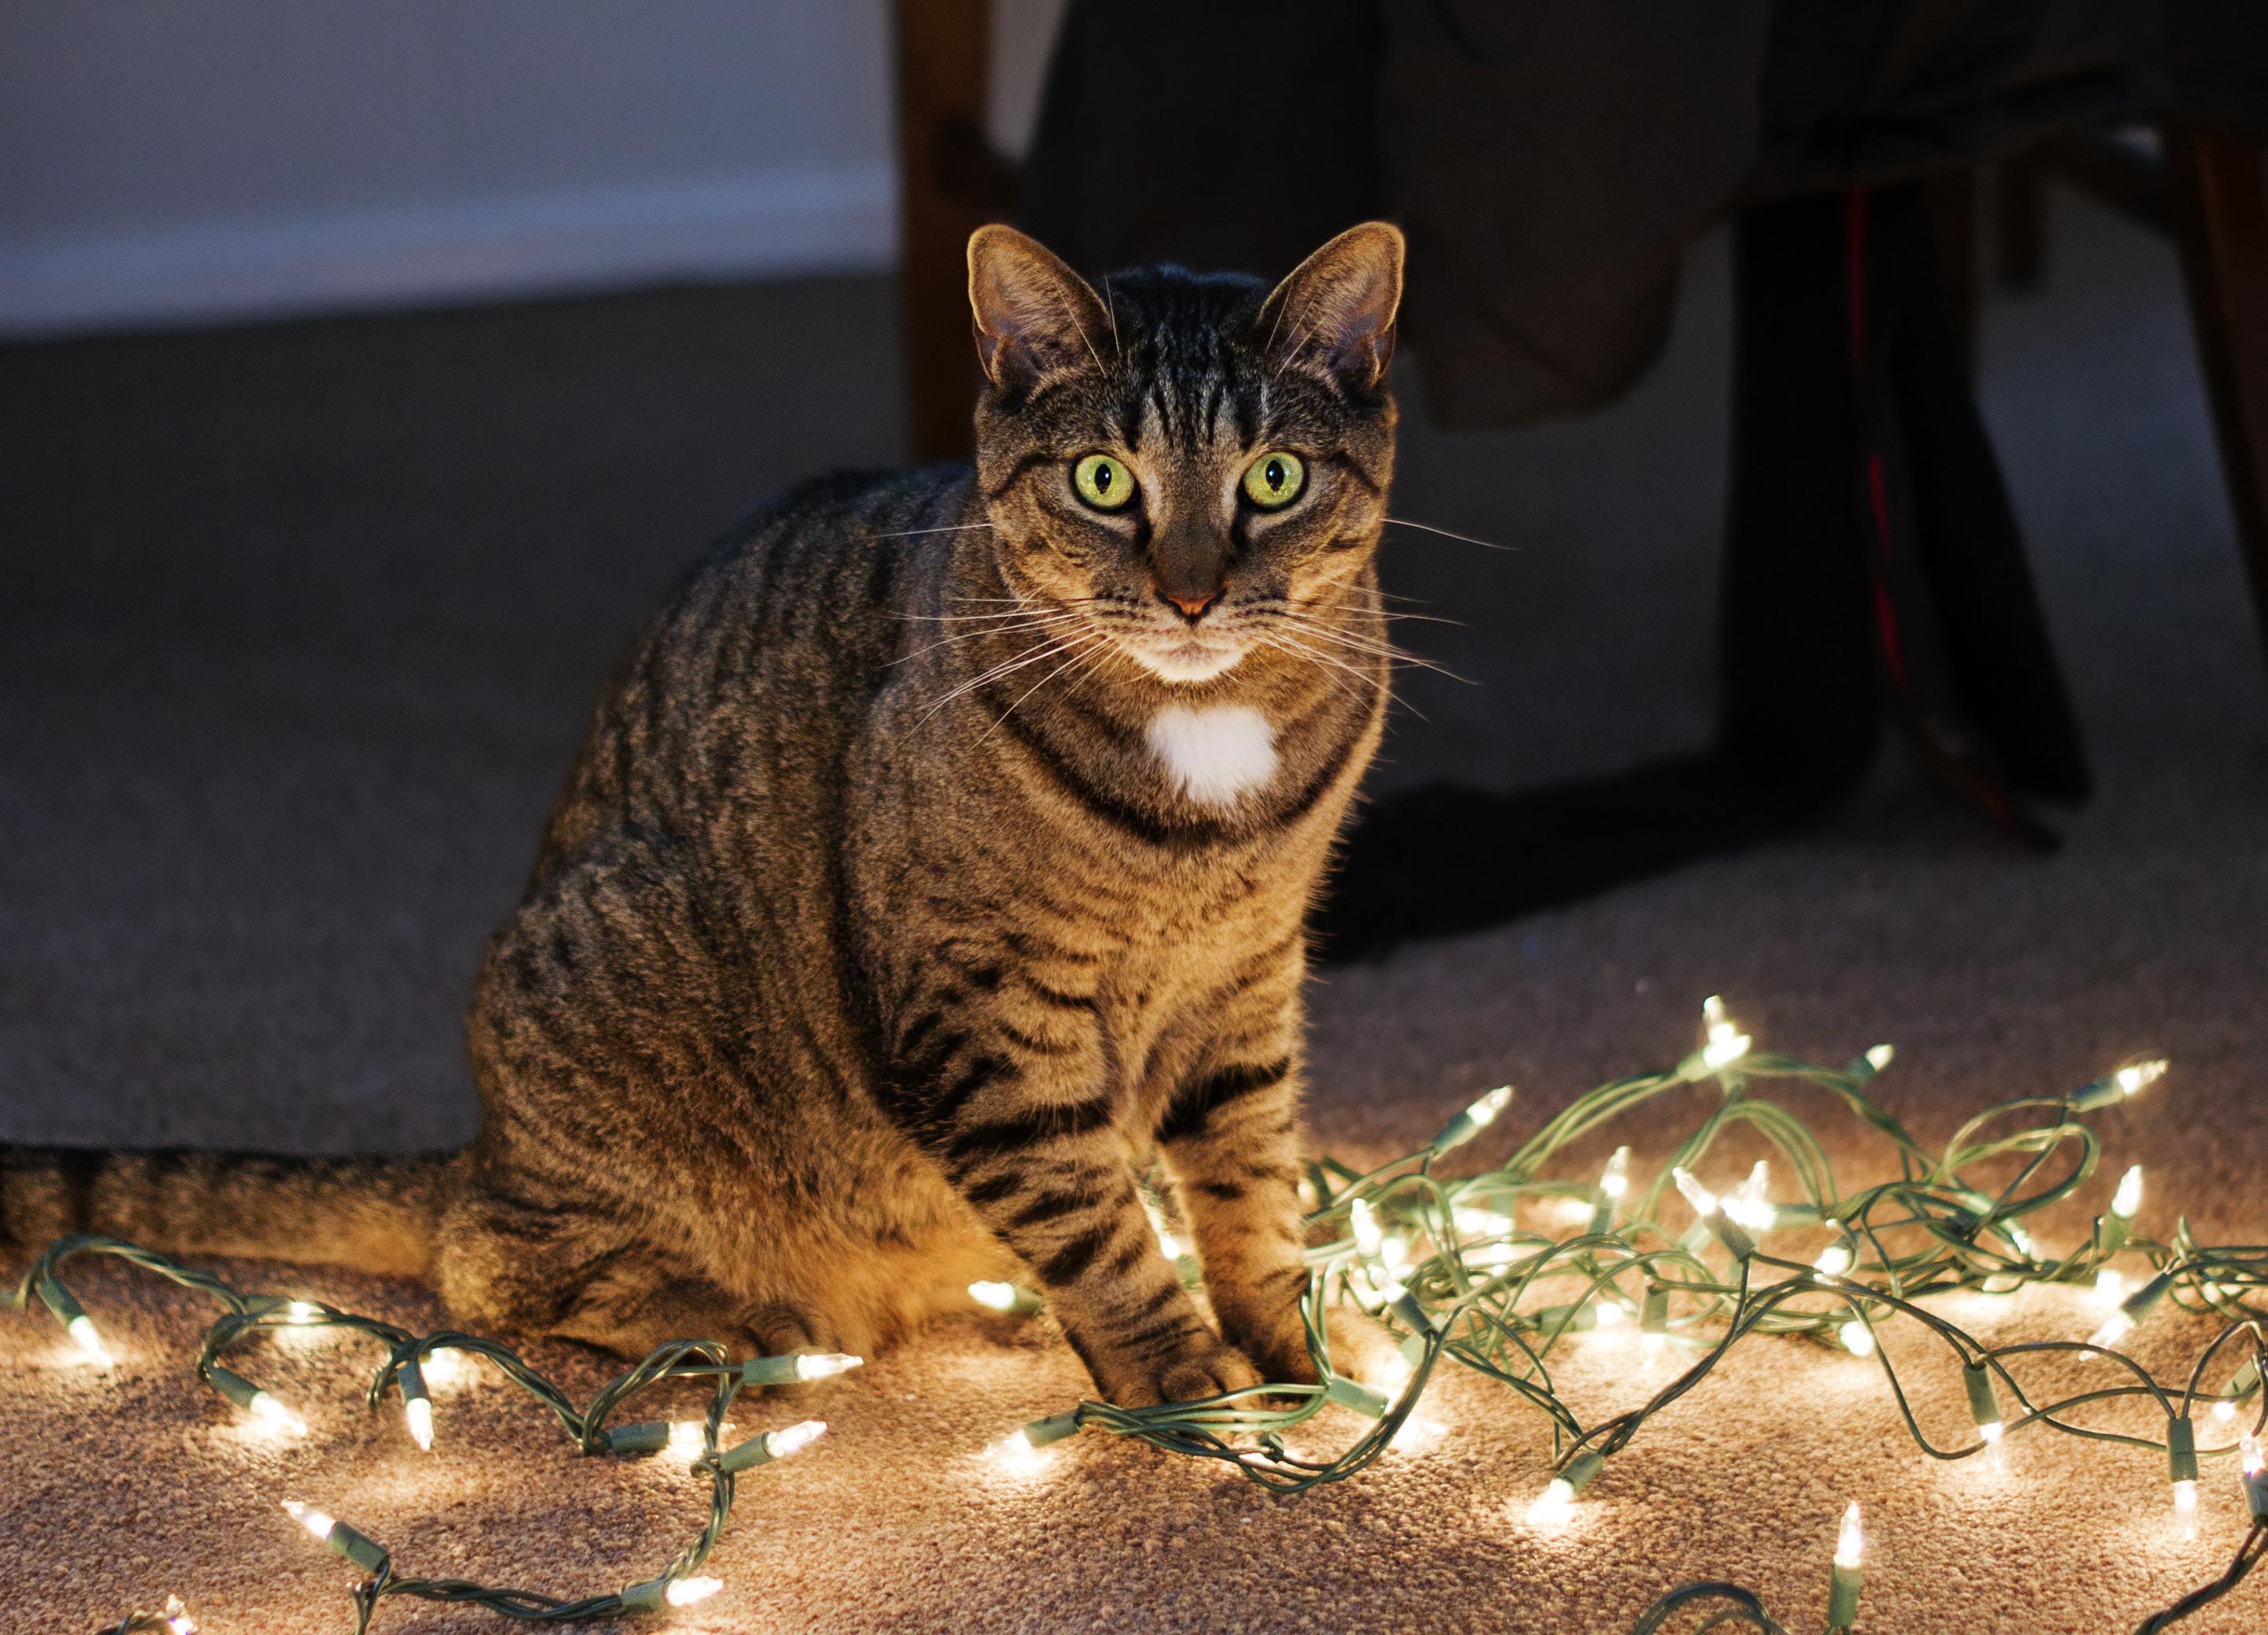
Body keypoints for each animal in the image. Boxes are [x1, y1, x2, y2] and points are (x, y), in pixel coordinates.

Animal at [0, 220, 1406, 1406]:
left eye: (1276, 477)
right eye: (1106, 480)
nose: (1191, 595)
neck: (1204, 779)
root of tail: (481, 1148)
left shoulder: (1248, 981)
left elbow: (1250, 1183)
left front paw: (1301, 1346)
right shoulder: (985, 1012)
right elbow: (1094, 1218)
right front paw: (1182, 1376)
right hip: (609, 994)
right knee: (490, 1270)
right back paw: (733, 1321)